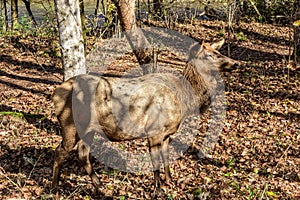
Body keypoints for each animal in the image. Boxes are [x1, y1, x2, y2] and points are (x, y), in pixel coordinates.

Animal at [51, 39, 239, 191]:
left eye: (218, 51)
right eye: (209, 55)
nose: (236, 63)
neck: (185, 100)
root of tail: (55, 93)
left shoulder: (166, 133)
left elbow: (166, 158)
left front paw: (170, 182)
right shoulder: (154, 130)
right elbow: (155, 161)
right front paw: (158, 189)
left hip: (88, 130)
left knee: (82, 153)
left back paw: (100, 186)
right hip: (70, 125)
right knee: (60, 151)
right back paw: (54, 187)